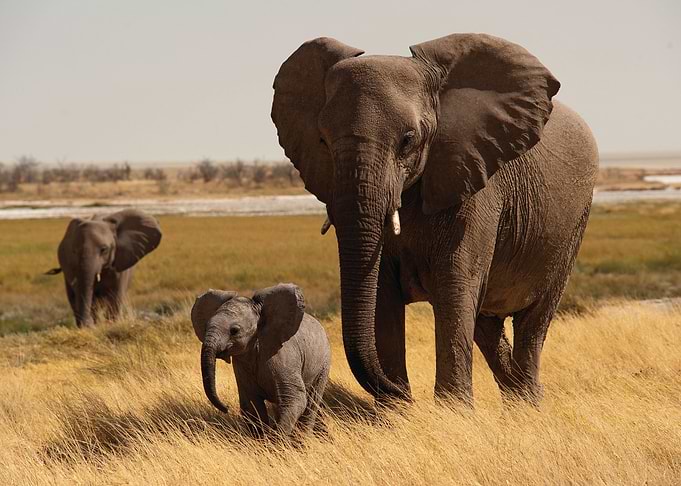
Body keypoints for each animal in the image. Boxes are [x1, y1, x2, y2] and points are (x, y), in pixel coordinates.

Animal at [191, 283, 331, 437]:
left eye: (234, 330)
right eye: (206, 326)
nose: (226, 408)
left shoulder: (283, 357)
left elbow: (295, 399)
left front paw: (277, 440)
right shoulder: (242, 364)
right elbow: (252, 405)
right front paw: (261, 440)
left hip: (324, 364)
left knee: (311, 402)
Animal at [271, 33, 598, 405]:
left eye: (408, 140)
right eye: (322, 140)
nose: (405, 393)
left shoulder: (473, 180)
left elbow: (454, 287)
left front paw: (452, 411)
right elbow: (383, 297)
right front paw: (397, 411)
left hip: (573, 226)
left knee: (533, 320)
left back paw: (529, 402)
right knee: (486, 326)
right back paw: (517, 401)